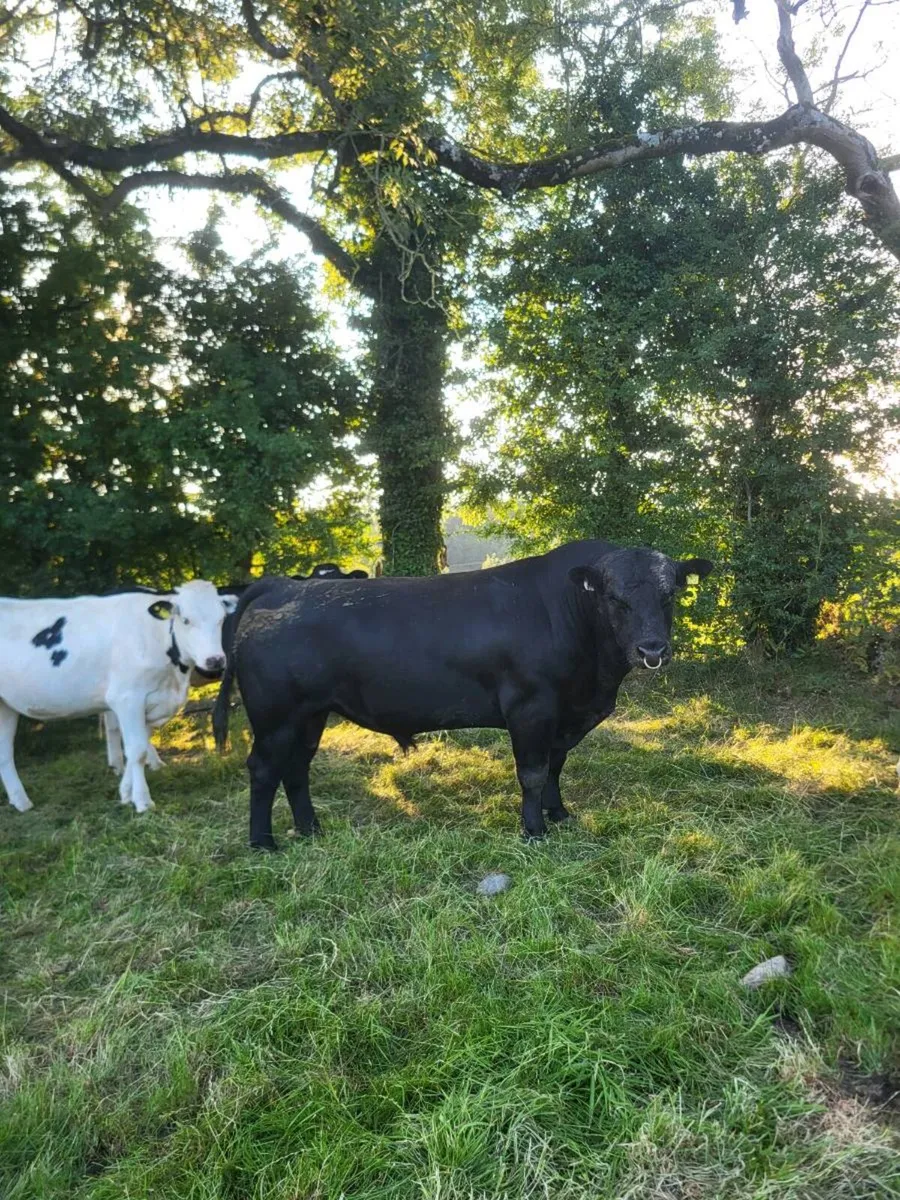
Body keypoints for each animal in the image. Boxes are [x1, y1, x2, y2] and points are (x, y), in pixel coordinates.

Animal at [0, 581, 238, 814]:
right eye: (186, 620)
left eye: (221, 619)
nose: (215, 660)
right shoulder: (127, 698)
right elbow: (137, 750)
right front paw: (142, 802)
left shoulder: (149, 702)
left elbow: (138, 747)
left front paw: (125, 793)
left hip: (5, 707)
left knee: (5, 754)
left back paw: (21, 802)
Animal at [212, 540, 713, 849]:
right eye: (614, 598)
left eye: (670, 595)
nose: (652, 650)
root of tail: (281, 584)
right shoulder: (530, 709)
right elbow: (532, 773)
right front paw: (534, 831)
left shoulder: (564, 716)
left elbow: (555, 766)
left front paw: (559, 814)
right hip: (275, 717)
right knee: (264, 770)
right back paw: (263, 842)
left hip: (310, 715)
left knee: (296, 768)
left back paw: (311, 829)